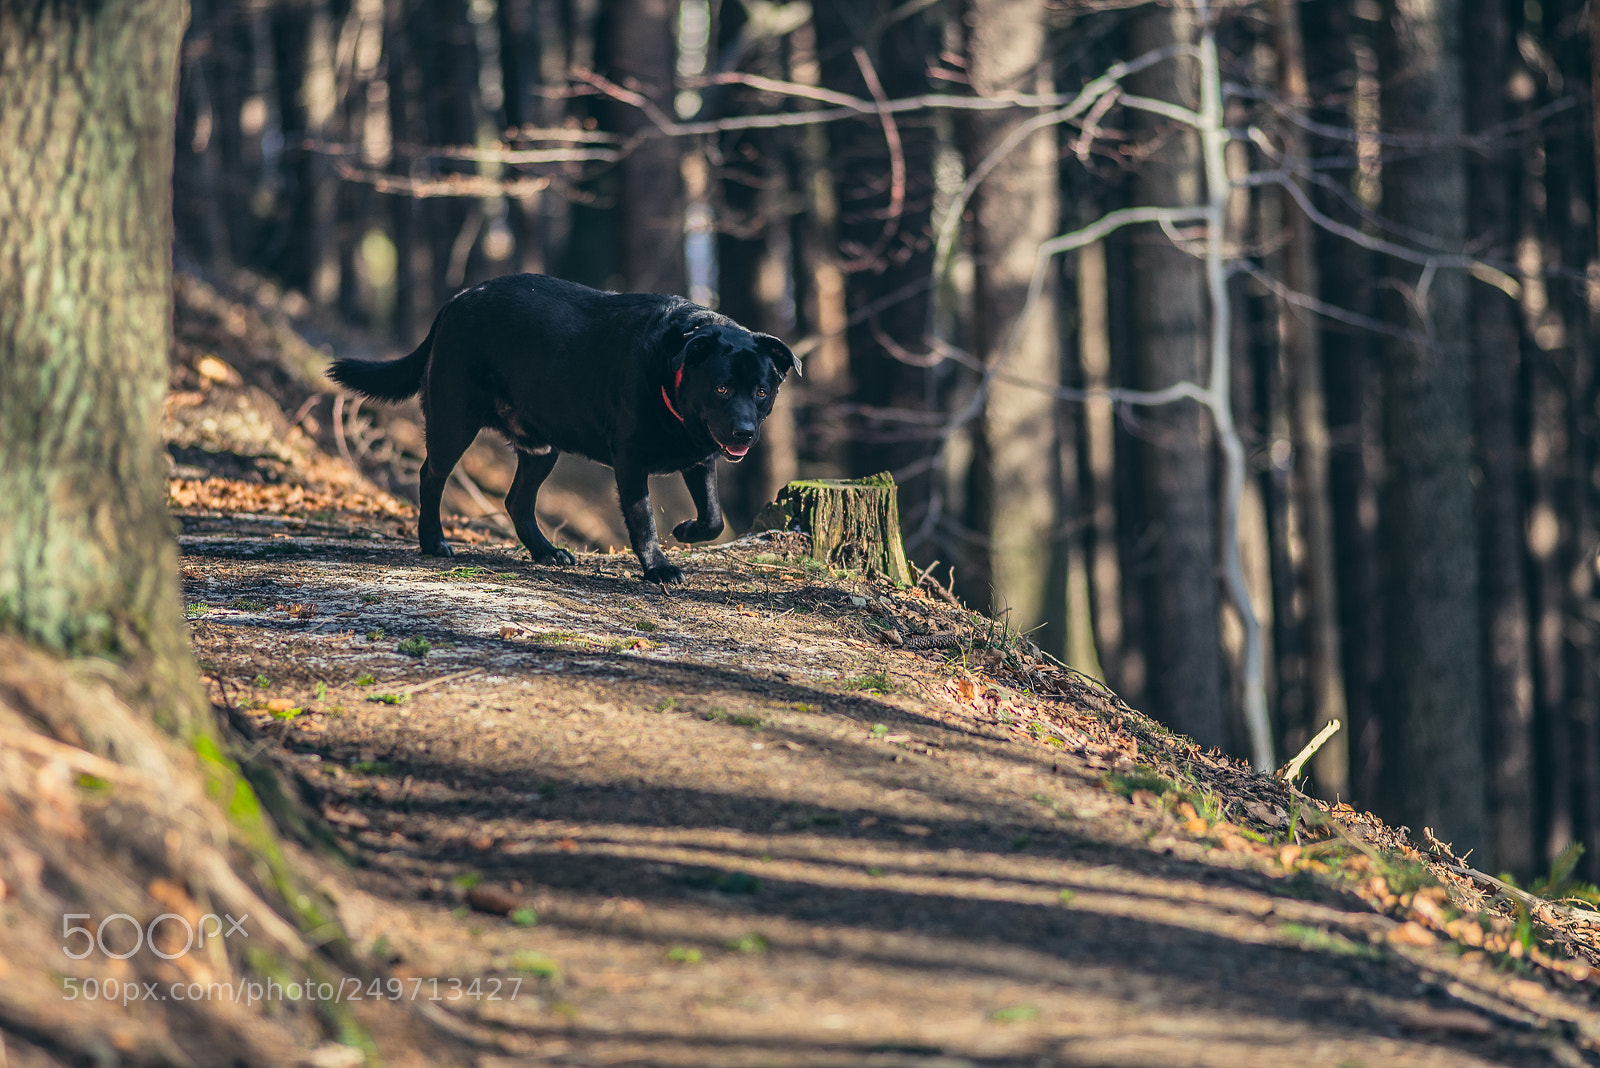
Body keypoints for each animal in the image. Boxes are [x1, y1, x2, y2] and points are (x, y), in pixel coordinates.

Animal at [326, 271, 800, 578]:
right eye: (722, 388)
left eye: (761, 392)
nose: (744, 432)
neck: (672, 370)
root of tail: (457, 299)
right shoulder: (630, 462)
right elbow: (643, 519)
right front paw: (658, 568)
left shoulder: (700, 459)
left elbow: (714, 516)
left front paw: (685, 530)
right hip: (454, 421)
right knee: (431, 476)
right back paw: (433, 543)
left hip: (541, 448)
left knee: (516, 501)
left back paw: (547, 552)